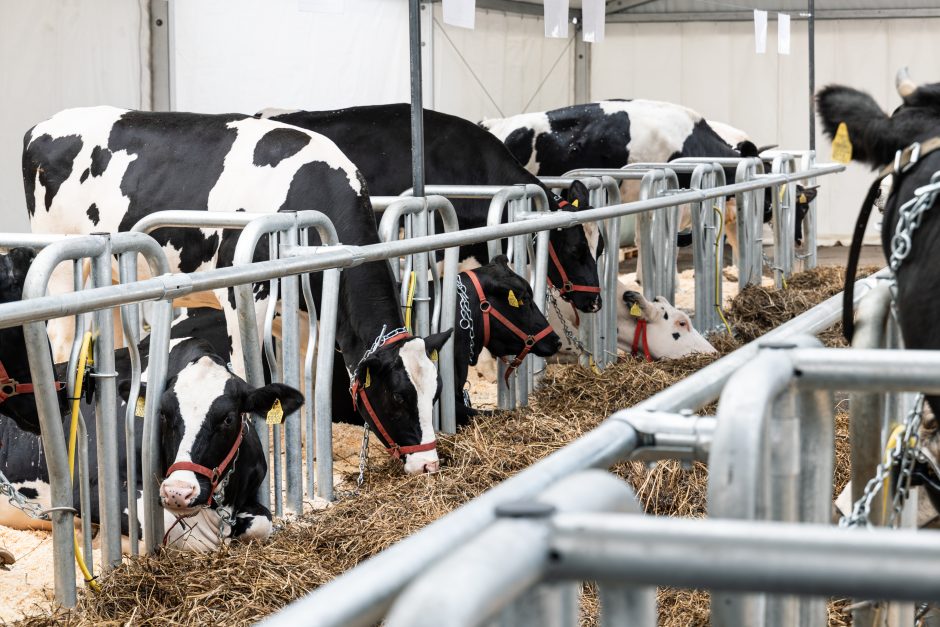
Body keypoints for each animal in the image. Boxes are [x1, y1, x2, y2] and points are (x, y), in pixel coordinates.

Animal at [22, 105, 448, 474]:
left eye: (435, 391)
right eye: (398, 397)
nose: (428, 464)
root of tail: (44, 124)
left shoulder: (302, 312)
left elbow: (305, 379)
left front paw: (304, 456)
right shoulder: (243, 296)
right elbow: (249, 376)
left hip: (109, 277)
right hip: (62, 271)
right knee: (61, 343)